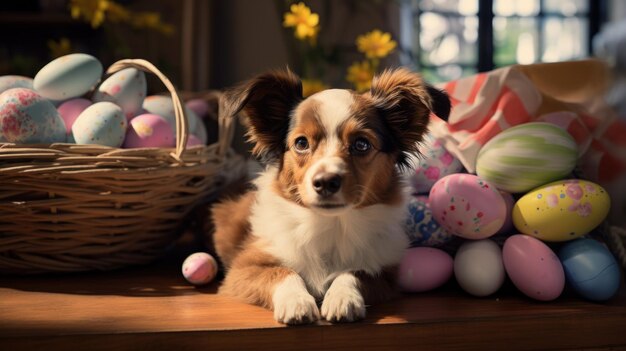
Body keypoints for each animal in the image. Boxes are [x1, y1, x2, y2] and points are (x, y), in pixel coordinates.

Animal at [211, 67, 448, 326]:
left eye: (362, 144)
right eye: (301, 143)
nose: (325, 182)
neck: (330, 224)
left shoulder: (385, 275)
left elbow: (354, 272)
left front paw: (343, 298)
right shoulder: (242, 269)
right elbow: (282, 271)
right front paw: (297, 302)